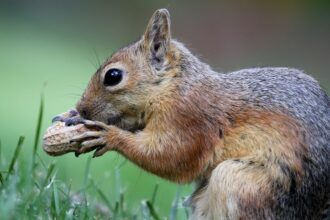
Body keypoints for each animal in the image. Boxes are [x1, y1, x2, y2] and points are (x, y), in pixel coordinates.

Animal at [58, 8, 328, 220]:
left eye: (113, 76)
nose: (83, 108)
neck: (173, 86)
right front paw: (71, 116)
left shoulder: (190, 119)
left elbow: (173, 156)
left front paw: (109, 136)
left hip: (244, 184)